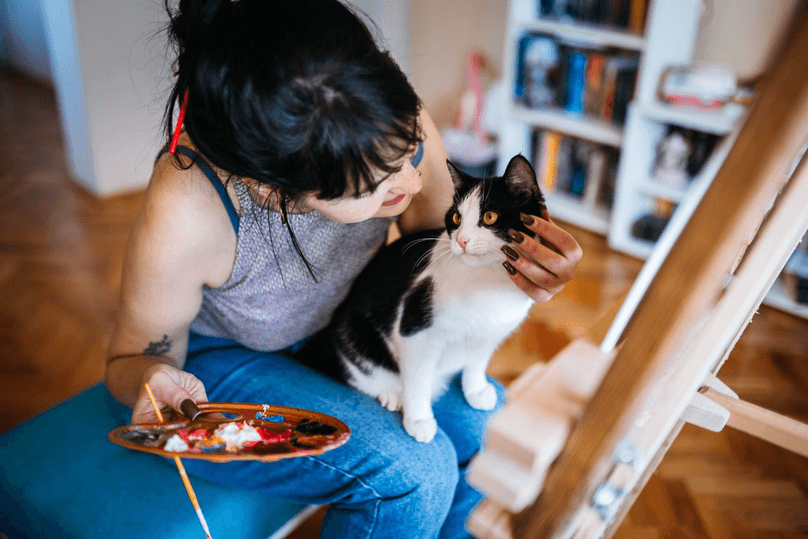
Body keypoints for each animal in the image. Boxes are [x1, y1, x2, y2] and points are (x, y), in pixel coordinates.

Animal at [302, 155, 544, 442]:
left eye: (490, 216)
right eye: (456, 217)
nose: (461, 241)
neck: (487, 279)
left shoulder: (492, 331)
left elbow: (477, 360)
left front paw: (475, 390)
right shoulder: (415, 328)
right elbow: (417, 377)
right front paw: (419, 420)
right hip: (353, 331)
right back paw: (392, 393)